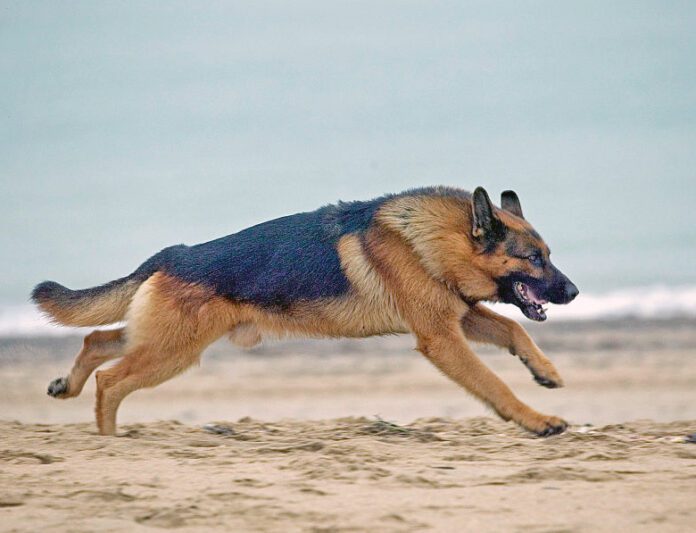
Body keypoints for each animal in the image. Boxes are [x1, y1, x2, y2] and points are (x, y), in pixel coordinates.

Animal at [31, 187, 576, 436]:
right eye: (534, 259)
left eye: (548, 254)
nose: (573, 292)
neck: (434, 240)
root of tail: (172, 255)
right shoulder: (442, 339)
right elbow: (494, 384)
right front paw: (536, 420)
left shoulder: (460, 317)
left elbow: (515, 332)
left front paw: (546, 371)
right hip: (173, 352)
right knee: (111, 380)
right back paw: (109, 440)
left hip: (165, 341)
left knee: (97, 341)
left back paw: (67, 387)